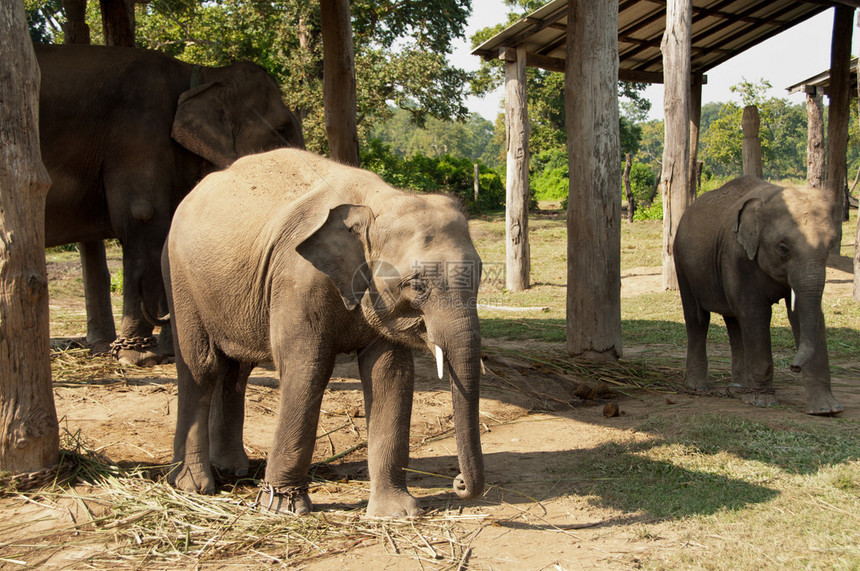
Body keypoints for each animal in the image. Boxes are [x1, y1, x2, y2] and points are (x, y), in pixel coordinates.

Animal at [37, 44, 306, 366]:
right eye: (282, 128)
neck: (202, 75)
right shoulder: (138, 134)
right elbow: (142, 215)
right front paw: (136, 356)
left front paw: (165, 351)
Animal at [161, 147, 484, 520]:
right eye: (416, 285)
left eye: (479, 275)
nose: (458, 483)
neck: (375, 201)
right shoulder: (298, 279)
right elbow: (307, 369)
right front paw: (283, 507)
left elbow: (390, 374)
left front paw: (396, 514)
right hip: (180, 277)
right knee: (201, 366)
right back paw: (192, 485)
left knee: (236, 369)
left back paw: (232, 470)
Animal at [672, 175, 840, 416]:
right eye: (783, 248)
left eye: (830, 246)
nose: (794, 366)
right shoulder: (739, 257)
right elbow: (756, 313)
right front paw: (762, 401)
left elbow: (803, 315)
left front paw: (826, 409)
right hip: (682, 262)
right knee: (698, 319)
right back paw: (698, 387)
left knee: (734, 322)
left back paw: (739, 389)